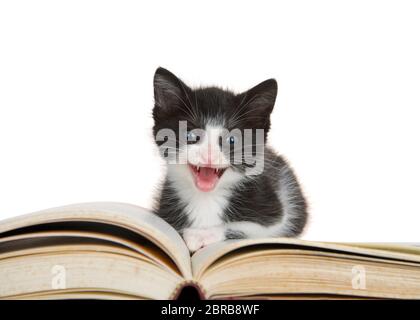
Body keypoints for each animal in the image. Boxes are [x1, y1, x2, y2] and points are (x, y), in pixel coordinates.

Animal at [153, 68, 306, 252]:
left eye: (232, 139)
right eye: (191, 135)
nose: (209, 155)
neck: (206, 198)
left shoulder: (277, 213)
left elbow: (253, 227)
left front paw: (202, 235)